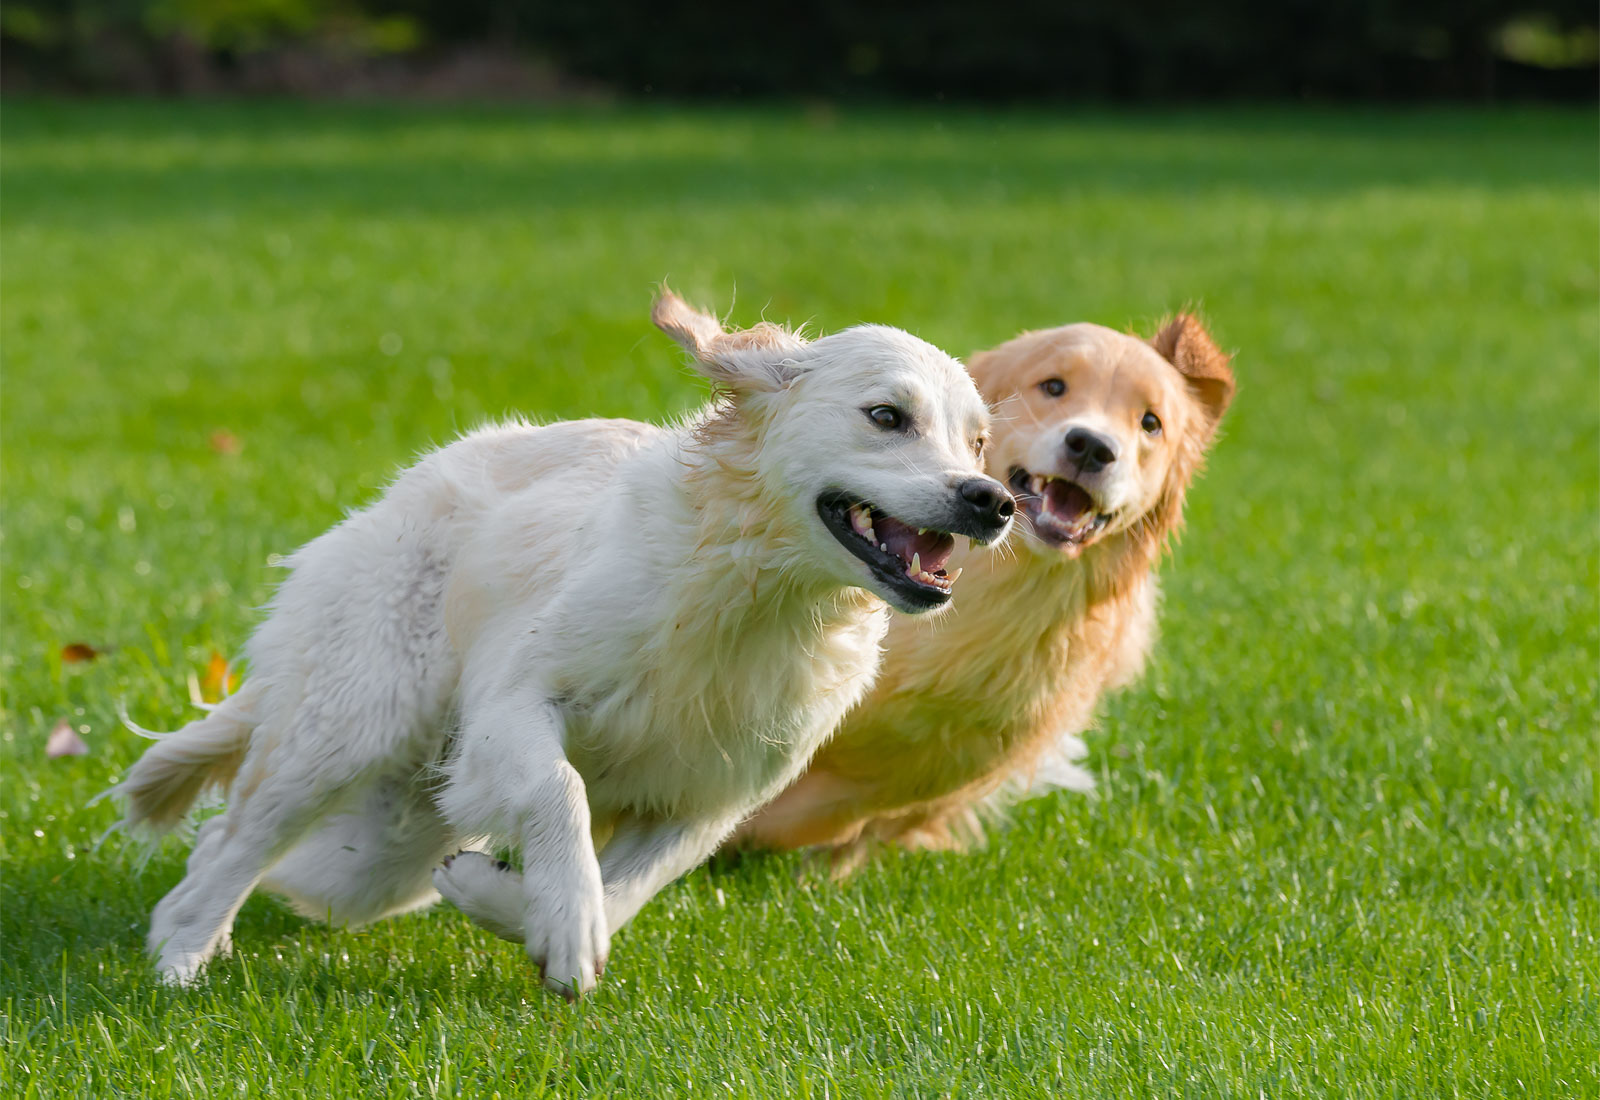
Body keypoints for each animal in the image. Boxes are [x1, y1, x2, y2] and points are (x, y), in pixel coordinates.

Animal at [116, 292, 1011, 997]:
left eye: (976, 443)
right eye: (886, 417)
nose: (993, 501)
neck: (753, 600)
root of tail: (391, 497)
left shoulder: (705, 802)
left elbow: (630, 887)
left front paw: (517, 907)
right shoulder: (515, 703)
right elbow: (561, 793)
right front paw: (568, 924)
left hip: (384, 847)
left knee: (276, 861)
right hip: (347, 731)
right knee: (233, 844)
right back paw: (182, 962)